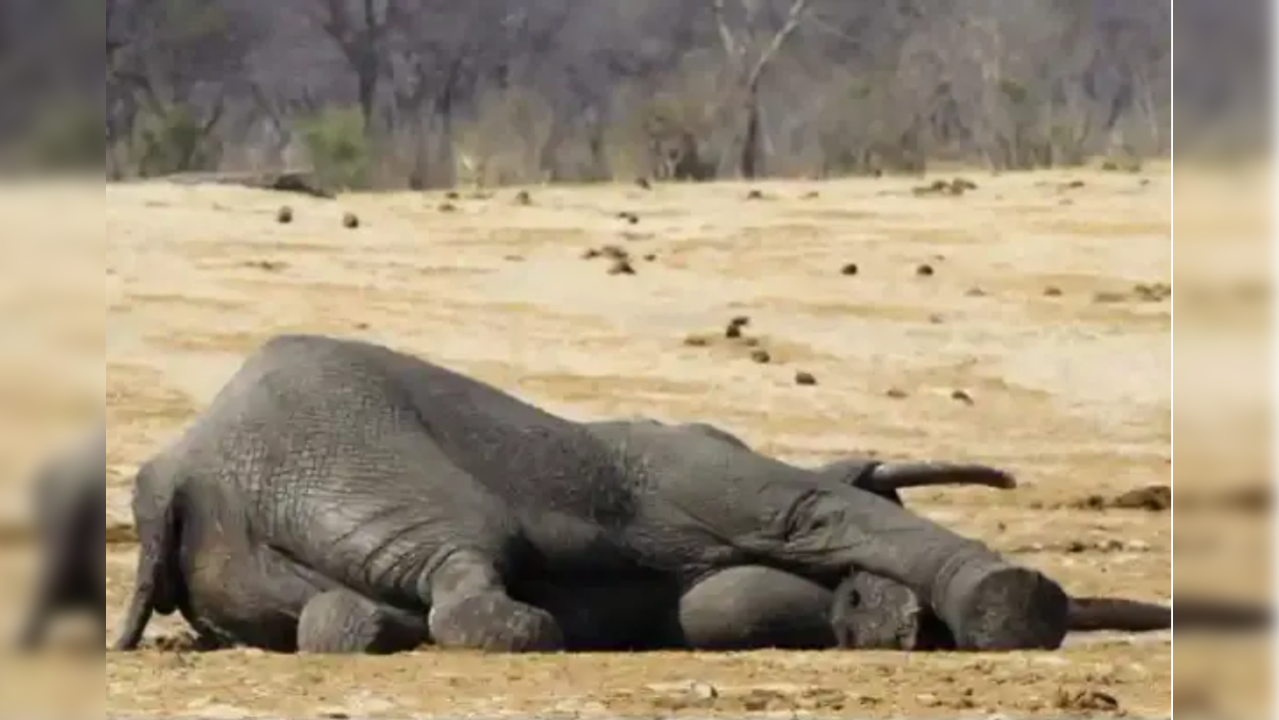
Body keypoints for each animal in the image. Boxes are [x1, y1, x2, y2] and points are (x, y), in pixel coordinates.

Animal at [109, 335, 1074, 654]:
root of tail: (178, 475)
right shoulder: (677, 466)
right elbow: (799, 514)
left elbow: (730, 599)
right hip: (344, 441)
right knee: (468, 558)